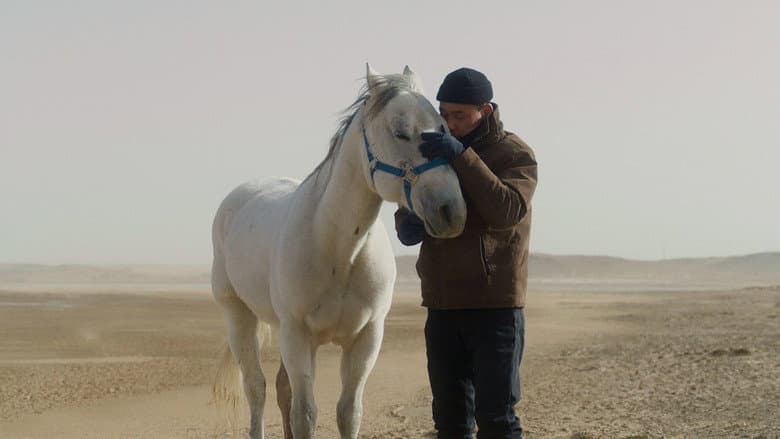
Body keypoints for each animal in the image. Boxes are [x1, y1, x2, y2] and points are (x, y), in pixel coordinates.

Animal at [210, 64, 467, 439]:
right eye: (400, 132)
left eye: (444, 128)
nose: (451, 211)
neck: (339, 250)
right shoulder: (297, 335)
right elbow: (305, 414)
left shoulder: (366, 338)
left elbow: (348, 412)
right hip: (239, 315)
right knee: (256, 388)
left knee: (281, 387)